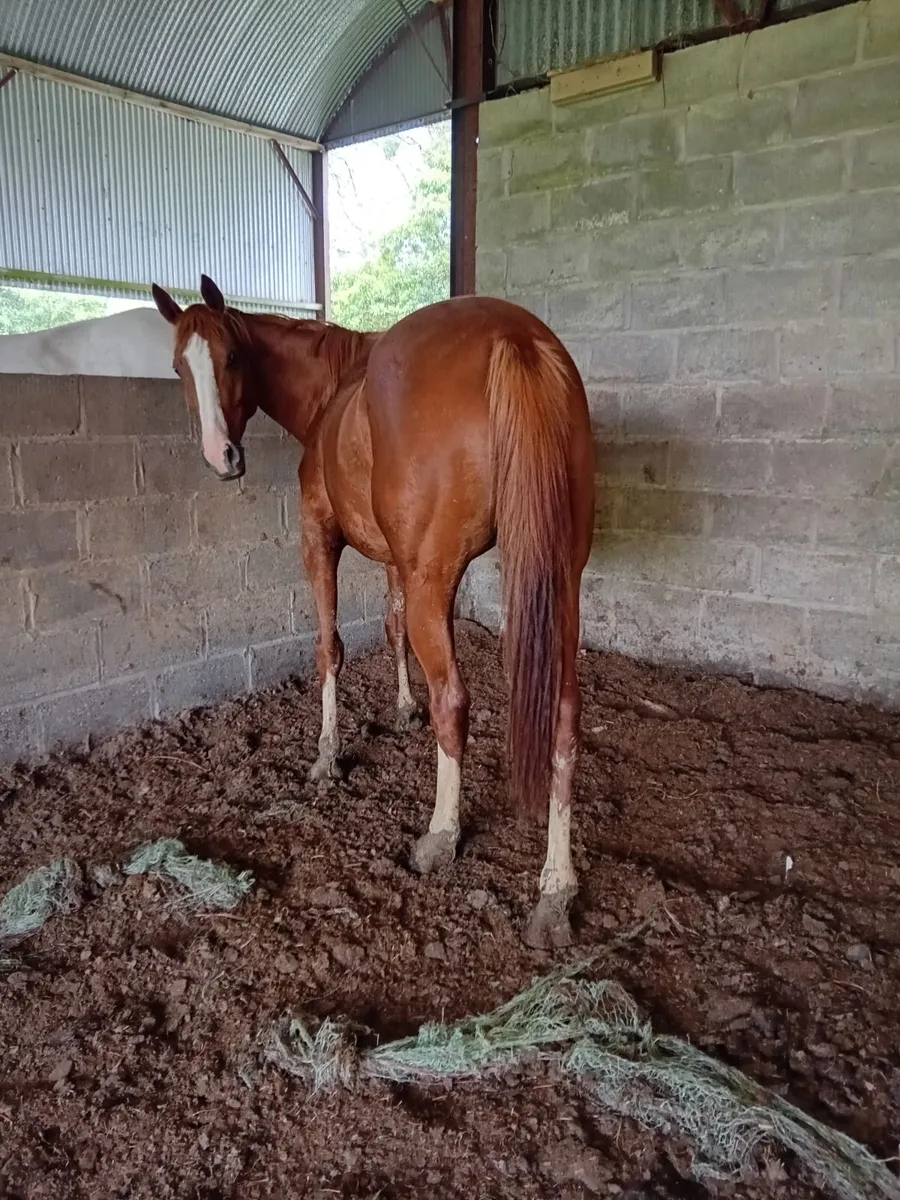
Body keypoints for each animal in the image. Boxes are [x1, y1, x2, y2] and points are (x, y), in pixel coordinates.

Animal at [151, 275, 595, 948]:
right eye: (179, 366)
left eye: (230, 357)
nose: (220, 455)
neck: (333, 388)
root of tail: (513, 339)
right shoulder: (395, 560)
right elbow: (391, 630)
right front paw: (403, 707)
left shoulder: (320, 538)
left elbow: (329, 647)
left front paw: (327, 755)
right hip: (558, 581)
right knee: (564, 718)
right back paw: (555, 890)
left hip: (439, 581)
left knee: (454, 701)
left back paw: (441, 834)